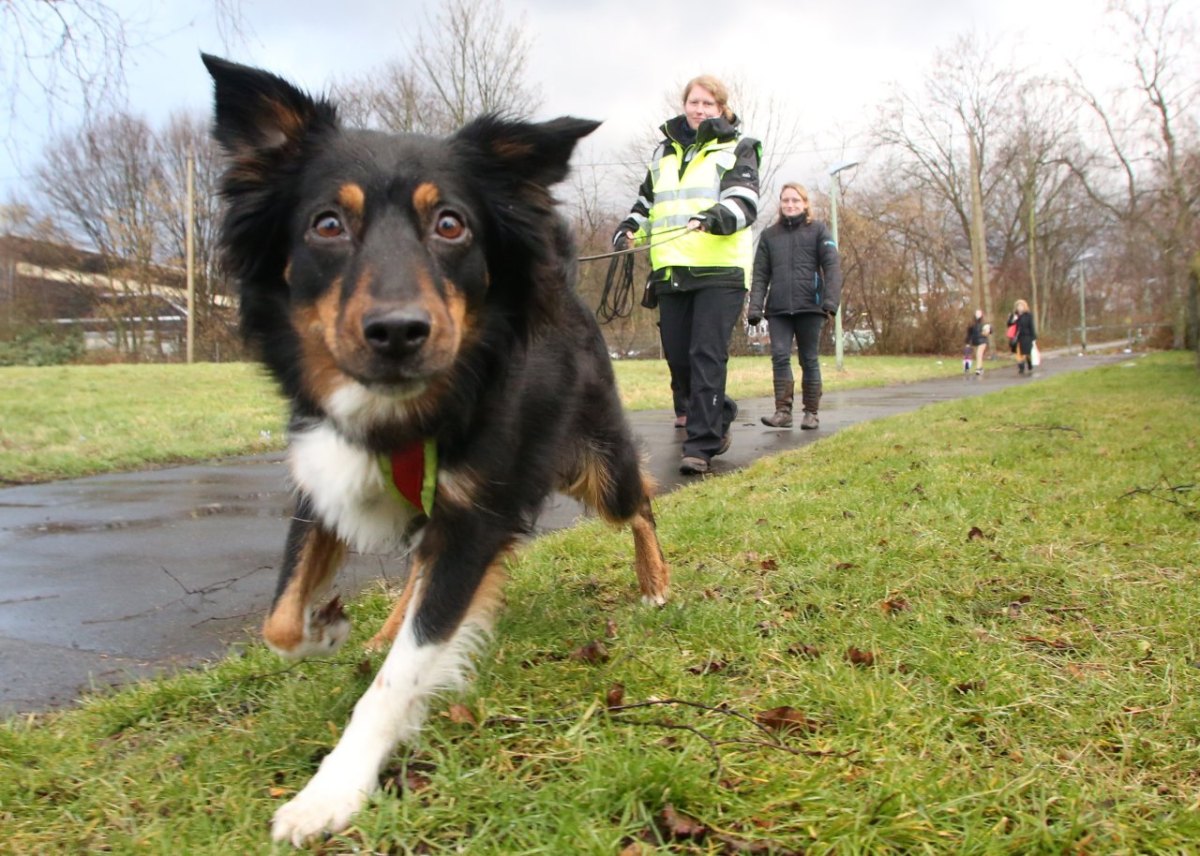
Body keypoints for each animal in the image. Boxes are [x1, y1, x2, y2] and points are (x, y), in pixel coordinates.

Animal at [202, 56, 672, 845]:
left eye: (450, 224)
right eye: (327, 224)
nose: (398, 331)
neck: (399, 412)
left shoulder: (477, 516)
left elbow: (402, 673)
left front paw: (331, 791)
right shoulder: (323, 477)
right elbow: (280, 620)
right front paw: (328, 627)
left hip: (594, 463)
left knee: (641, 504)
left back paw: (656, 584)